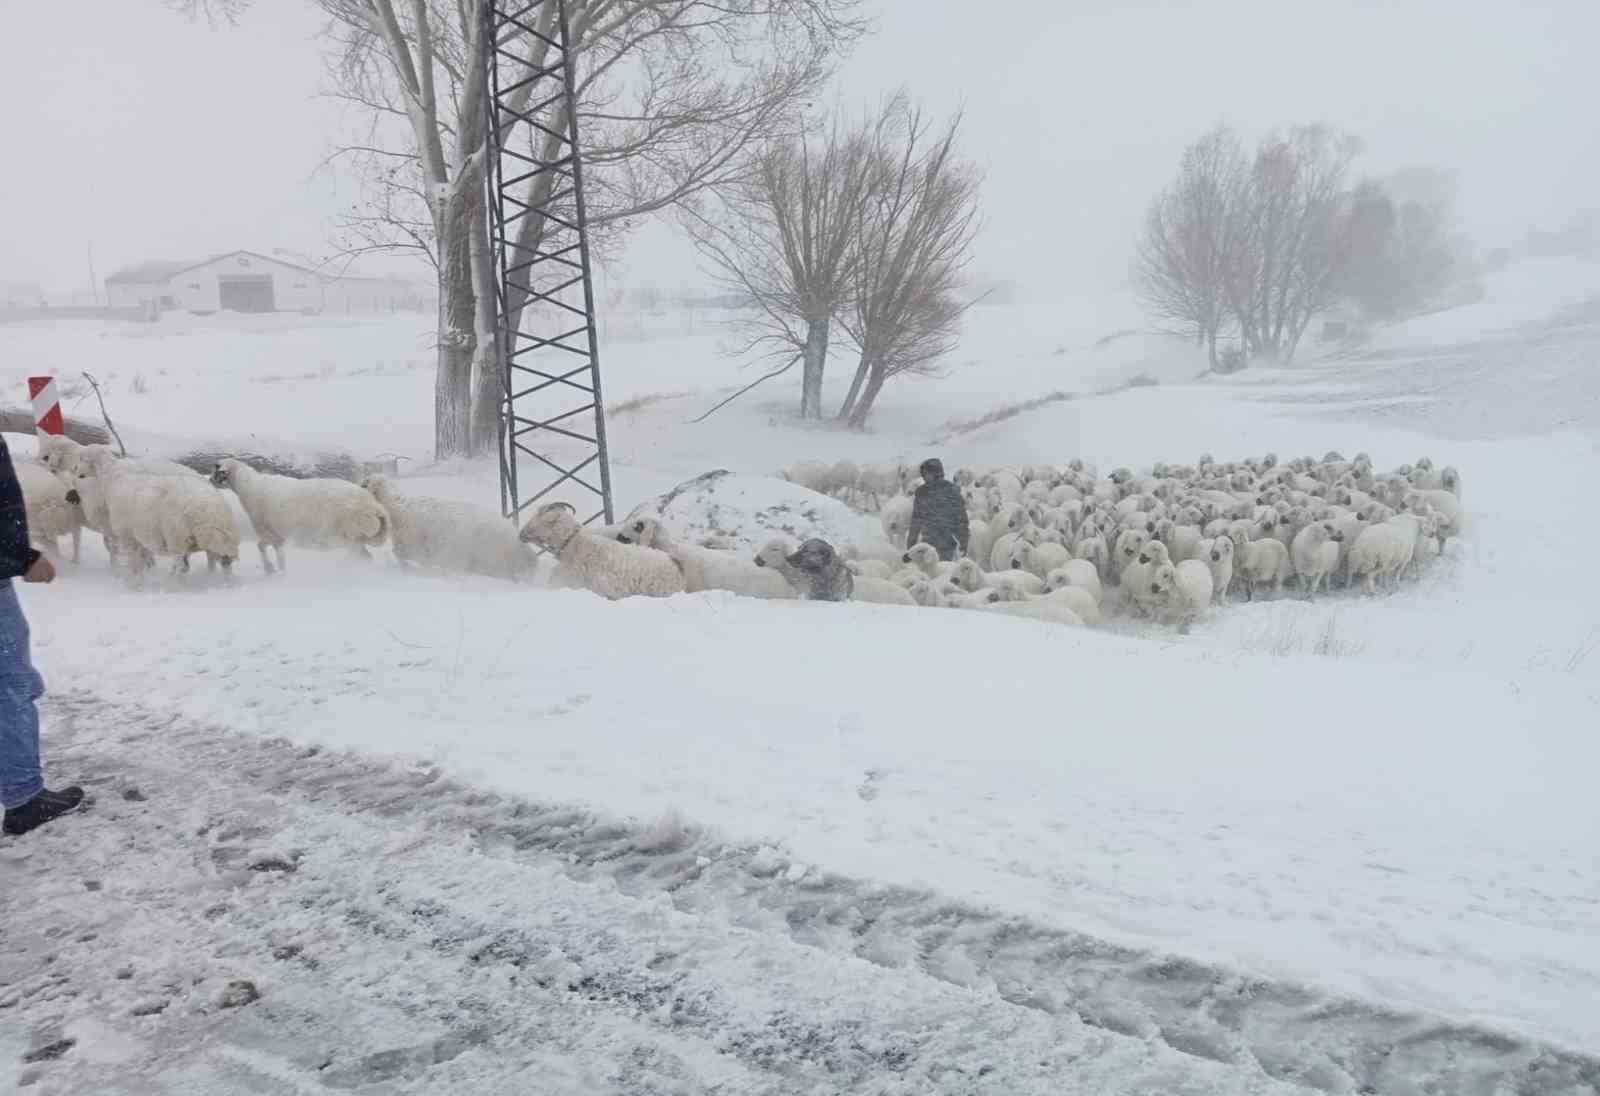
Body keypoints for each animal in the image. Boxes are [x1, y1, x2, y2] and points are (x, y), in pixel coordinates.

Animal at [211, 454, 388, 572]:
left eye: (217, 470)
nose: (210, 480)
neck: (248, 486)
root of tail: (375, 507)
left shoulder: (268, 532)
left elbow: (261, 547)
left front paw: (270, 568)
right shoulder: (278, 536)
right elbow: (279, 555)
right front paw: (279, 570)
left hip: (345, 535)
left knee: (360, 556)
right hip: (356, 537)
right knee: (364, 557)